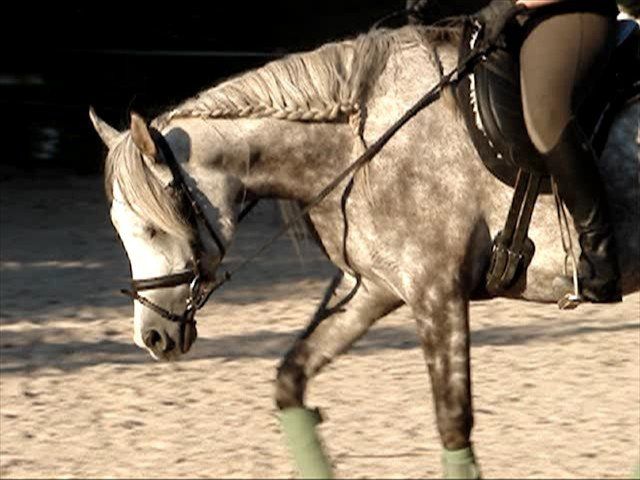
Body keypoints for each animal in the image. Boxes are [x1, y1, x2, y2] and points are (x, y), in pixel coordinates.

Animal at [90, 24, 639, 479]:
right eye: (121, 229)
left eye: (154, 228)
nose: (152, 337)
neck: (363, 145)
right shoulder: (372, 289)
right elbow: (290, 380)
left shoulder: (437, 295)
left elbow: (452, 424)